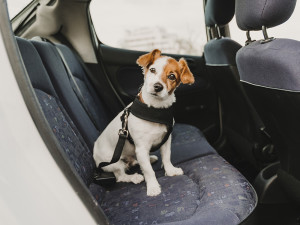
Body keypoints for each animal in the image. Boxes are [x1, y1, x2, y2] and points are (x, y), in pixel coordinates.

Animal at [94, 48, 195, 195]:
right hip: (114, 162)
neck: (155, 110)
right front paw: (153, 187)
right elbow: (148, 171)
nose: (157, 86)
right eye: (152, 70)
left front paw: (170, 171)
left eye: (172, 76)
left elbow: (166, 157)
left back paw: (148, 159)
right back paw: (134, 177)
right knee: (120, 176)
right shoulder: (141, 148)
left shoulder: (166, 141)